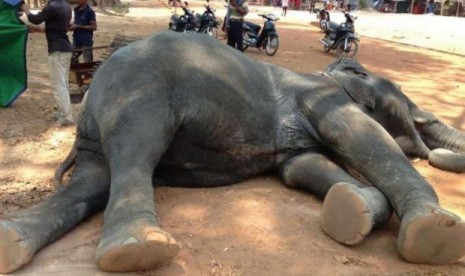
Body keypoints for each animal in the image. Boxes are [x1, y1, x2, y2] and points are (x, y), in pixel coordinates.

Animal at [0, 31, 464, 272]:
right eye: (403, 99)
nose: (427, 145)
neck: (329, 74)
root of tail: (90, 94)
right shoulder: (324, 100)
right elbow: (363, 137)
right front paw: (435, 231)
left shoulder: (297, 143)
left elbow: (301, 166)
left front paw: (353, 207)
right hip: (140, 90)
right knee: (136, 149)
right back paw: (137, 250)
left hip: (97, 133)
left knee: (93, 180)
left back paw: (12, 242)